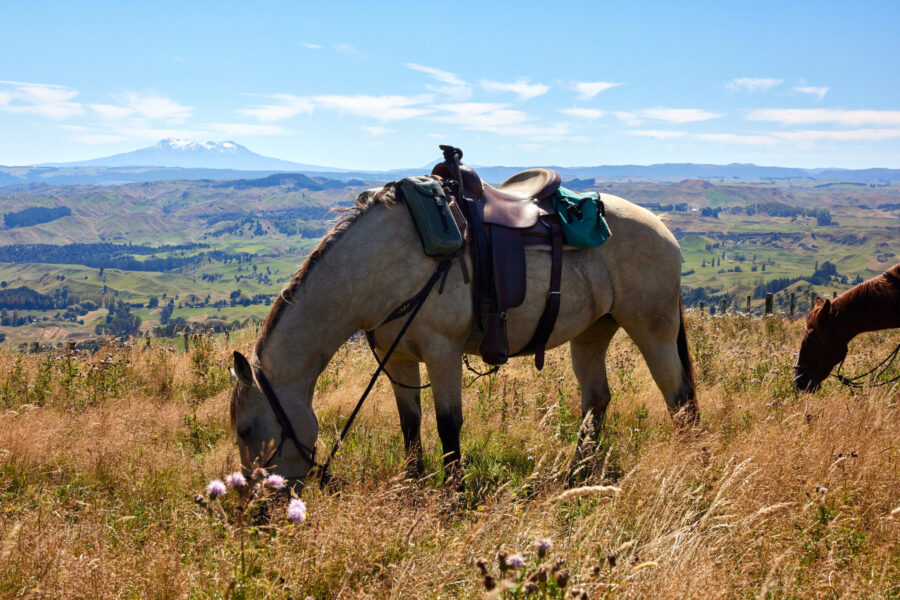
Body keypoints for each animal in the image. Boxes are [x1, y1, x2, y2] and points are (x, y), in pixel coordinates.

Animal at [230, 183, 698, 488]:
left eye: (246, 430)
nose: (257, 507)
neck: (382, 265)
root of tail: (663, 228)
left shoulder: (443, 352)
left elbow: (448, 425)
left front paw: (452, 494)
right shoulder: (398, 357)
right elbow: (410, 423)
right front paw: (412, 485)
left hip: (654, 330)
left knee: (679, 400)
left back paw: (687, 466)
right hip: (592, 333)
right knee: (597, 400)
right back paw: (575, 474)